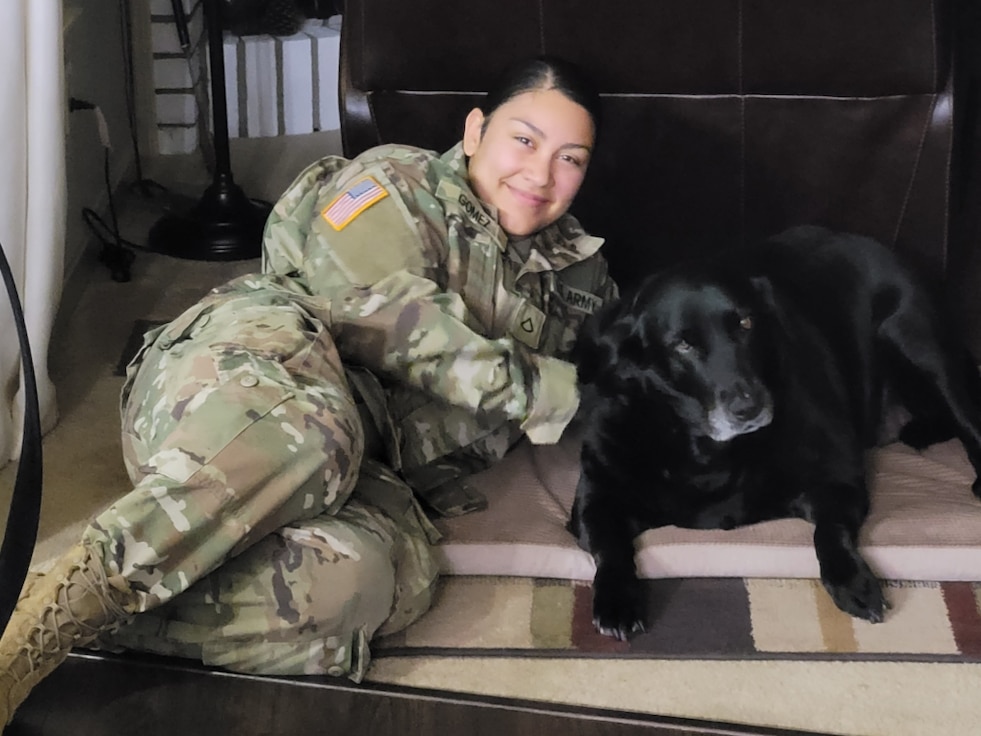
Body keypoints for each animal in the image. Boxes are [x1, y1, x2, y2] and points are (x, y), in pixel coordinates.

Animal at [568, 224, 980, 640]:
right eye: (683, 344)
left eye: (746, 324)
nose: (748, 407)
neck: (708, 453)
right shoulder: (595, 500)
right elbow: (610, 545)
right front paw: (617, 600)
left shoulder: (839, 481)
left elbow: (828, 531)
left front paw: (852, 581)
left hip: (920, 346)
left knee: (969, 423)